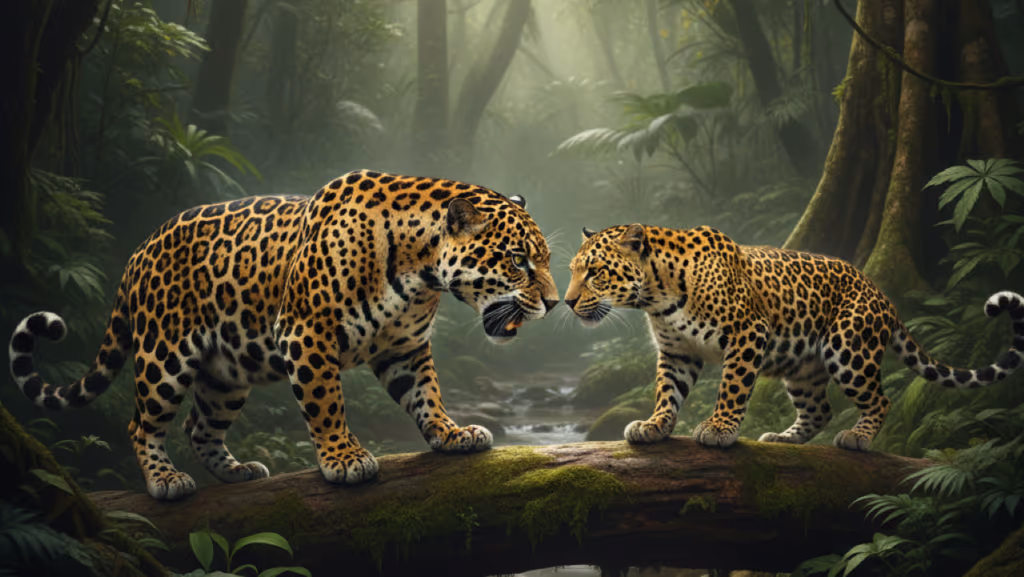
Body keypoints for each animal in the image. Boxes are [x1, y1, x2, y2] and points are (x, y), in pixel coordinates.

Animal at [9, 169, 559, 500]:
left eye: (547, 259)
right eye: (518, 260)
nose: (555, 303)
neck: (420, 268)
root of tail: (138, 252)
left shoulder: (404, 348)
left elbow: (427, 395)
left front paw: (451, 434)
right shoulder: (306, 334)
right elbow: (326, 404)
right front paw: (345, 459)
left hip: (226, 374)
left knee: (198, 426)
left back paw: (237, 472)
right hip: (165, 355)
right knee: (141, 423)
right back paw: (166, 479)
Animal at [564, 224, 1024, 451]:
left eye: (595, 271)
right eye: (571, 270)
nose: (566, 302)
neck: (656, 293)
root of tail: (884, 297)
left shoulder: (748, 333)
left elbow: (731, 388)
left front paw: (719, 428)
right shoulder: (677, 353)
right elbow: (666, 392)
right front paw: (654, 426)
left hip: (848, 349)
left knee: (881, 399)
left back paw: (858, 438)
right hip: (803, 370)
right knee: (819, 409)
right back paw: (783, 438)